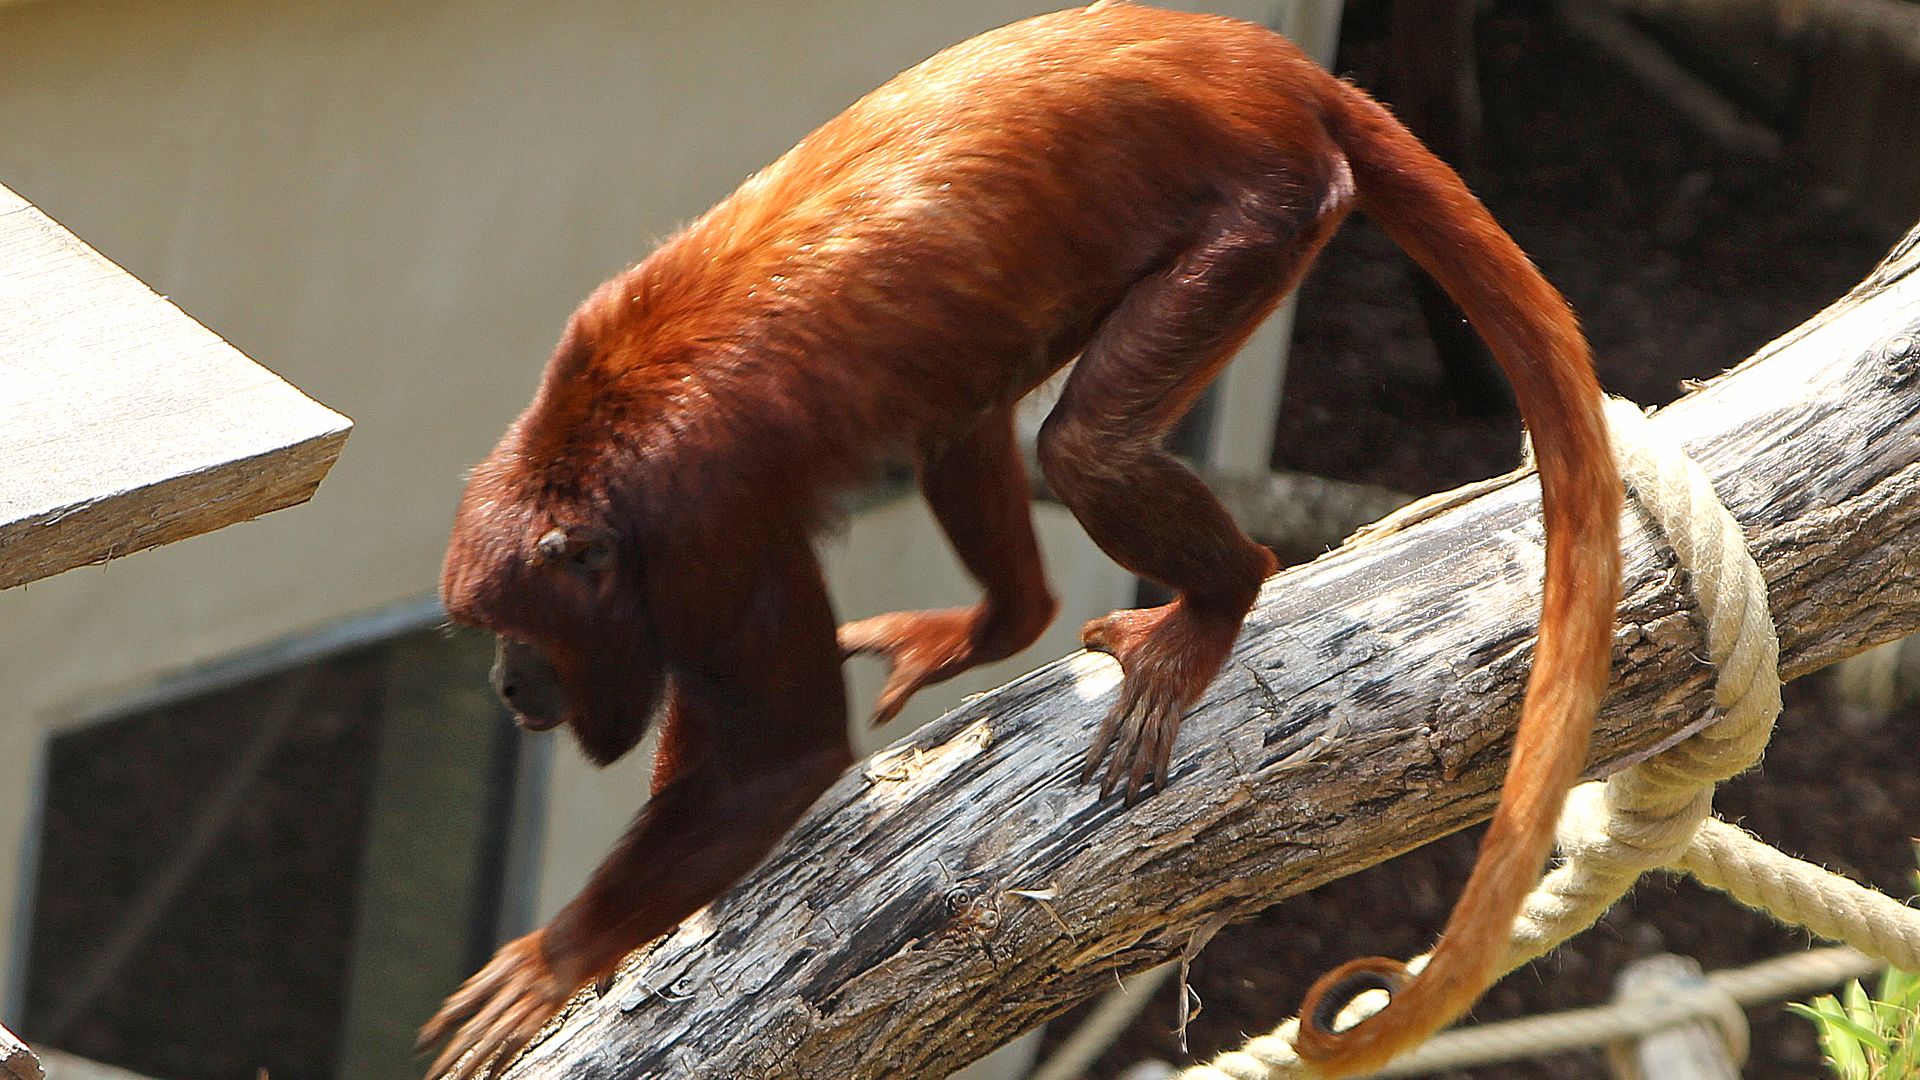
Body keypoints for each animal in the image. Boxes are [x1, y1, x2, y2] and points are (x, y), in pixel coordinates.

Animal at [424, 4, 1620, 1068]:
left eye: (515, 631)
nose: (504, 685)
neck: (594, 460)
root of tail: (1261, 61)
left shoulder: (703, 531)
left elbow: (784, 755)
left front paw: (555, 958)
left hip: (1265, 212)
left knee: (1083, 447)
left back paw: (1220, 600)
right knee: (964, 422)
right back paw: (1003, 624)